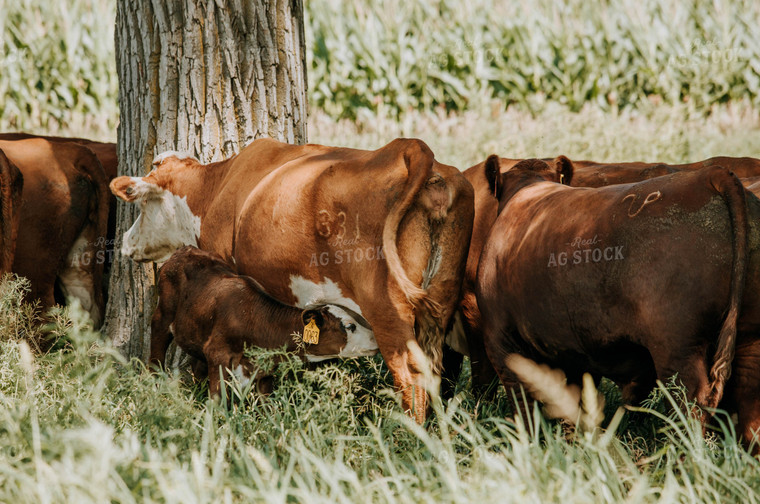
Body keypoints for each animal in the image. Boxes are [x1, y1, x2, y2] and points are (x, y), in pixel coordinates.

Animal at [110, 137, 472, 422]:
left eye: (142, 206)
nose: (125, 242)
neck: (217, 186)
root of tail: (408, 149)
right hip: (438, 306)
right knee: (436, 369)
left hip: (388, 311)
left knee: (410, 373)